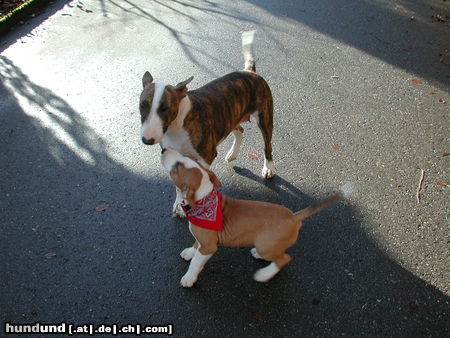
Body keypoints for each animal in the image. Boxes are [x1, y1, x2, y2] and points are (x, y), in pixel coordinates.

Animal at [160, 149, 354, 288]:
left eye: (177, 167)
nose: (163, 149)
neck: (204, 198)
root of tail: (293, 216)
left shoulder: (209, 247)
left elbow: (196, 263)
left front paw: (188, 278)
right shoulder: (203, 240)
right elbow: (195, 244)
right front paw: (189, 251)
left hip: (266, 244)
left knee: (284, 259)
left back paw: (263, 275)